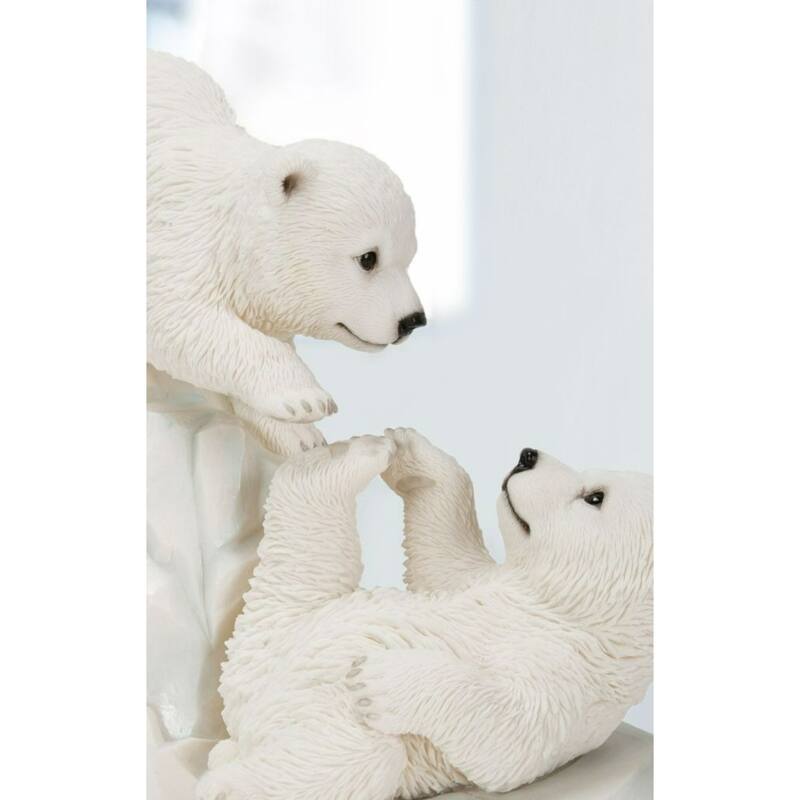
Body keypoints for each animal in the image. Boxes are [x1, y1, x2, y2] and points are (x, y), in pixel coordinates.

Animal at [147, 51, 426, 455]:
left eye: (411, 255)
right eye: (368, 258)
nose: (412, 320)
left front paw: (300, 435)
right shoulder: (175, 233)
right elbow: (175, 316)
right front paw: (306, 399)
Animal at [196, 429, 653, 800]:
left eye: (594, 497)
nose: (528, 455)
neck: (561, 607)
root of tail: (246, 719)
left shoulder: (576, 675)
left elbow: (511, 736)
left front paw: (377, 678)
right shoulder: (489, 583)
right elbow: (444, 560)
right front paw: (415, 452)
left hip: (311, 711)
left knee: (360, 759)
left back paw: (222, 785)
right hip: (275, 630)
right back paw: (347, 453)